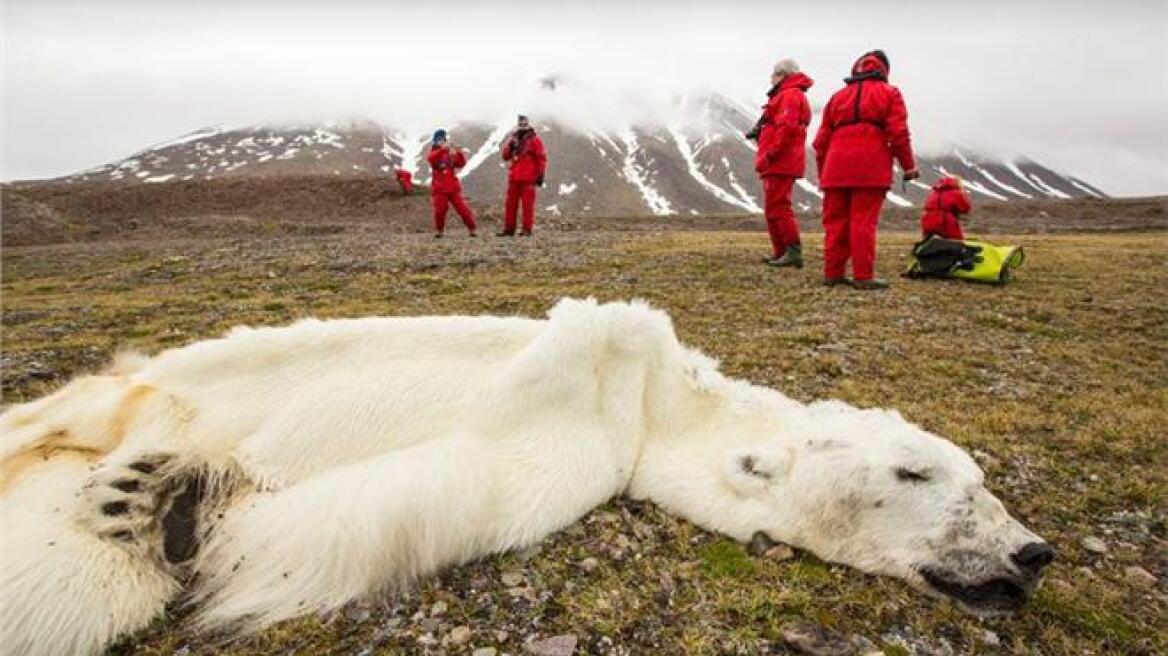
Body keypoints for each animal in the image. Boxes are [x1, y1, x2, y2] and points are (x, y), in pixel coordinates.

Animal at [0, 297, 1055, 653]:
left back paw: (143, 501)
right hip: (131, 392)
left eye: (980, 479)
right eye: (918, 473)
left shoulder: (584, 451)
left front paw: (179, 505)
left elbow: (419, 494)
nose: (1032, 552)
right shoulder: (592, 392)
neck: (655, 404)